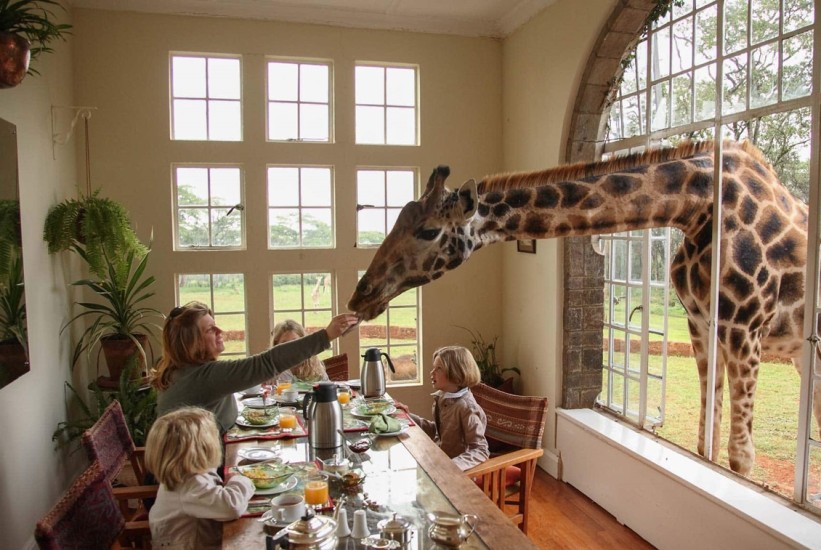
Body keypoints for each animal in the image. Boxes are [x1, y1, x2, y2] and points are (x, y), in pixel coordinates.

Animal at [348, 140, 820, 476]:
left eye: (429, 231)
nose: (360, 296)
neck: (696, 207)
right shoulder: (702, 325)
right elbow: (710, 434)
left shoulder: (745, 329)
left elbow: (739, 458)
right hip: (801, 355)